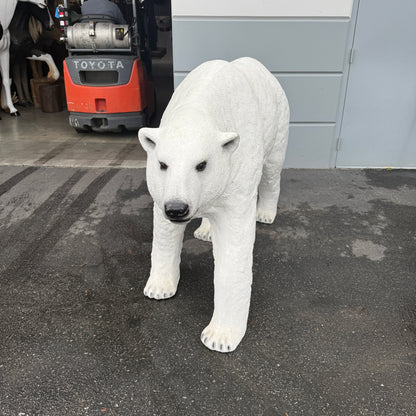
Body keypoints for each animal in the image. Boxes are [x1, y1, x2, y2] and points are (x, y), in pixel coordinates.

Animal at [138, 57, 288, 352]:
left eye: (202, 164)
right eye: (162, 164)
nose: (177, 208)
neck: (203, 102)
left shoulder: (238, 168)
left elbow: (234, 246)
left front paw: (220, 337)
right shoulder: (163, 190)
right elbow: (164, 233)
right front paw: (158, 289)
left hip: (278, 119)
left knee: (272, 169)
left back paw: (265, 213)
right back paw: (205, 230)